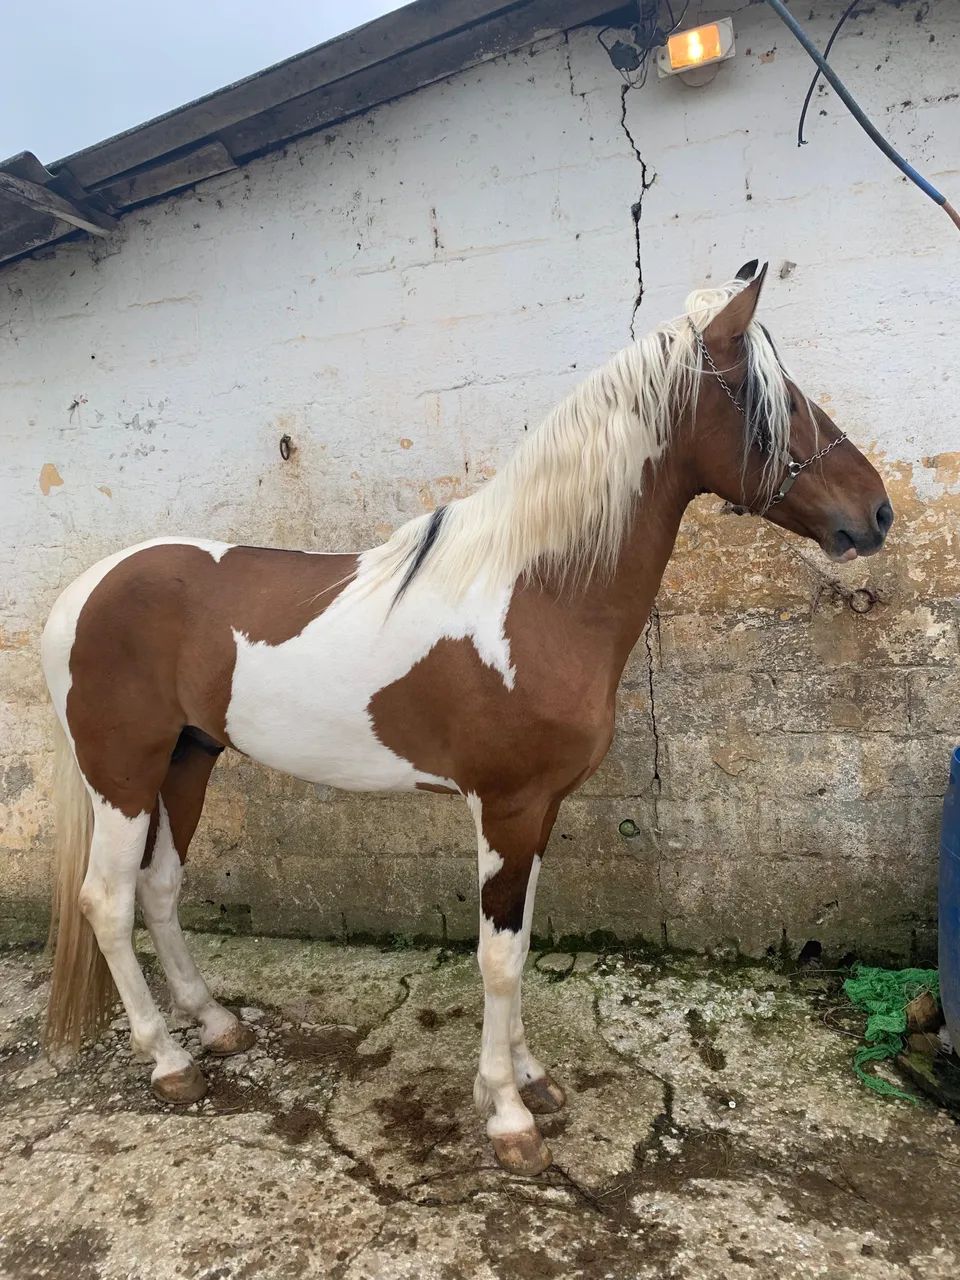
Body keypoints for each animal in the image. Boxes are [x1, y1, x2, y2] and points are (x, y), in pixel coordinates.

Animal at [41, 261, 892, 1176]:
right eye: (778, 401)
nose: (875, 513)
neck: (540, 595)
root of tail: (81, 592)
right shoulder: (506, 804)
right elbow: (498, 958)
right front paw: (508, 1115)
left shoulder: (539, 808)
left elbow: (519, 941)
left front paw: (530, 1078)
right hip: (123, 773)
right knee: (107, 901)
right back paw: (168, 1061)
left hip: (188, 759)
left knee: (160, 889)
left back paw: (217, 1025)